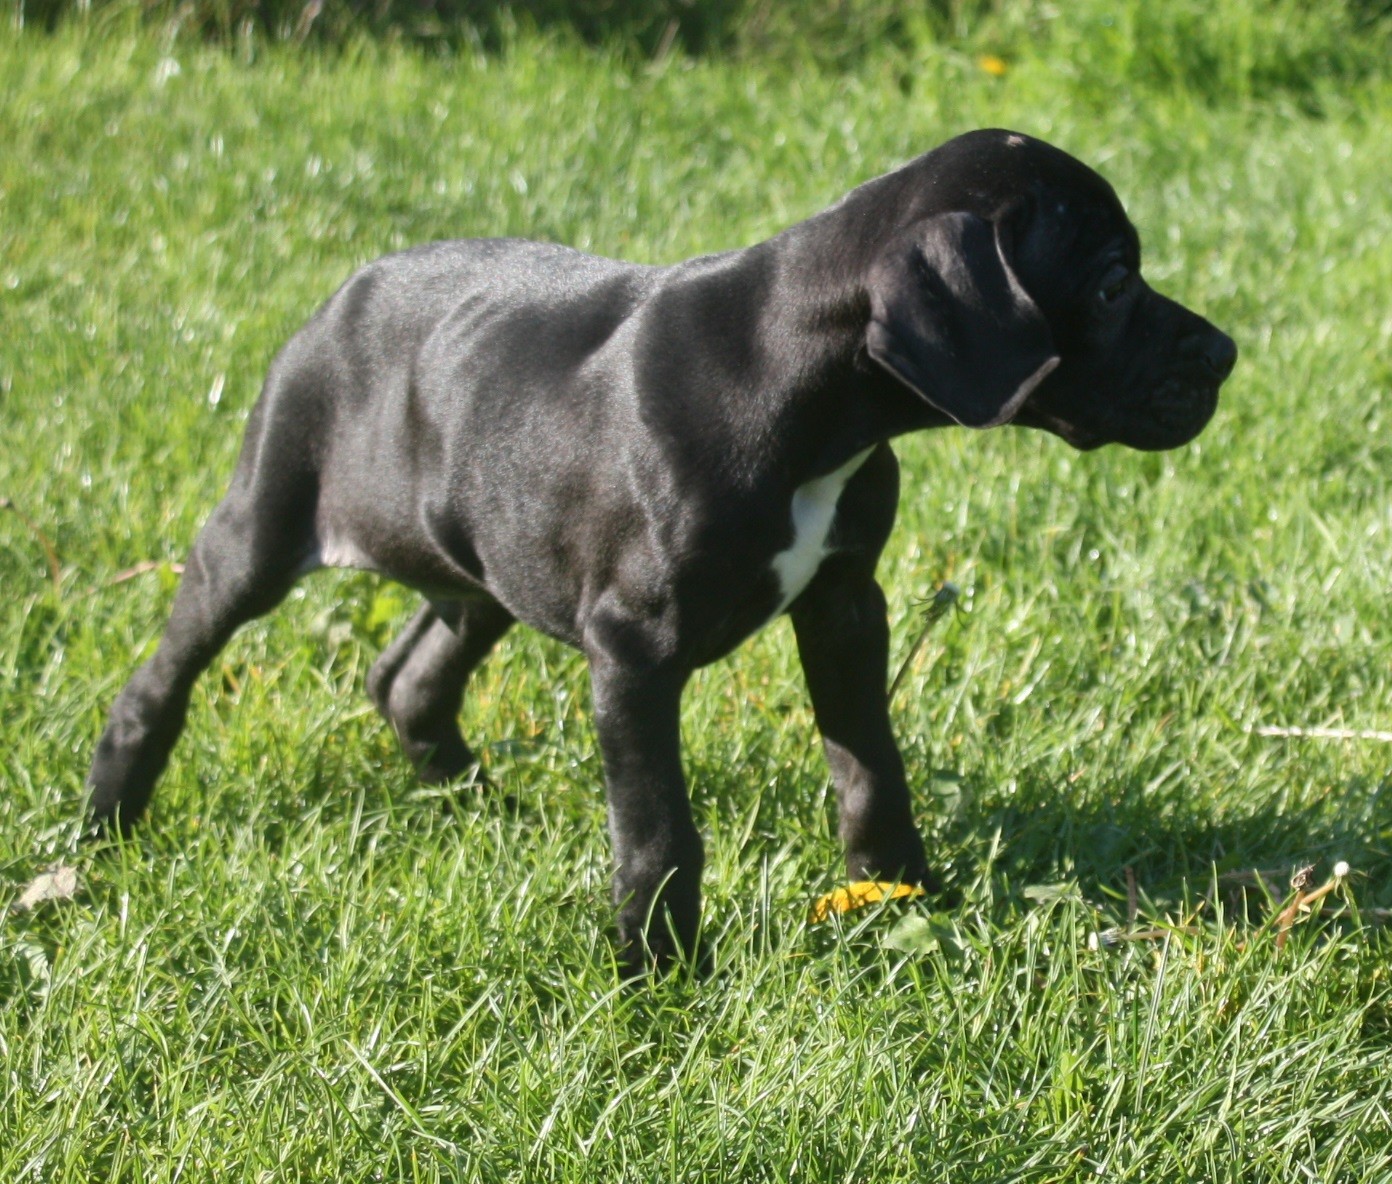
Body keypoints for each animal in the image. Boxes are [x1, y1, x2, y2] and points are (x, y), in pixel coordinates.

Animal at [92, 132, 1236, 973]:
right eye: (1112, 284)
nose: (1226, 352)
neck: (802, 390)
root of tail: (347, 291)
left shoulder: (845, 604)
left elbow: (872, 763)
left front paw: (904, 889)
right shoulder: (633, 656)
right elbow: (660, 832)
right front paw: (660, 970)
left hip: (483, 566)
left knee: (408, 675)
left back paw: (475, 804)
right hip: (262, 526)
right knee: (162, 678)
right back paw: (107, 821)